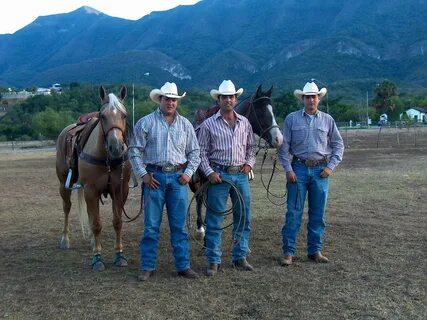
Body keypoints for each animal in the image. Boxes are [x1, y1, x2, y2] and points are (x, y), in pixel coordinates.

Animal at [56, 86, 131, 272]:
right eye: (103, 116)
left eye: (124, 115)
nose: (116, 147)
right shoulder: (91, 191)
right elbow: (97, 224)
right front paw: (97, 258)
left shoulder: (120, 190)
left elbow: (117, 222)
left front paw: (119, 255)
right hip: (63, 185)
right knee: (67, 208)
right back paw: (65, 240)